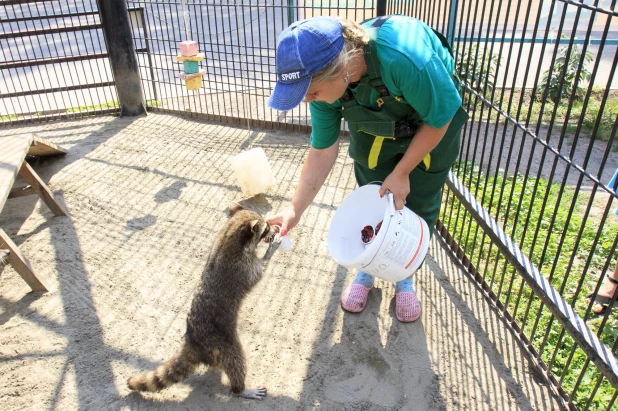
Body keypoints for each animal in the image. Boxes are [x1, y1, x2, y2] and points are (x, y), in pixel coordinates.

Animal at [128, 208, 274, 400]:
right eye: (265, 228)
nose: (274, 229)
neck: (229, 234)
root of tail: (193, 341)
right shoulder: (240, 268)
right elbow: (258, 273)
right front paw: (272, 250)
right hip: (222, 340)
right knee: (236, 360)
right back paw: (241, 389)